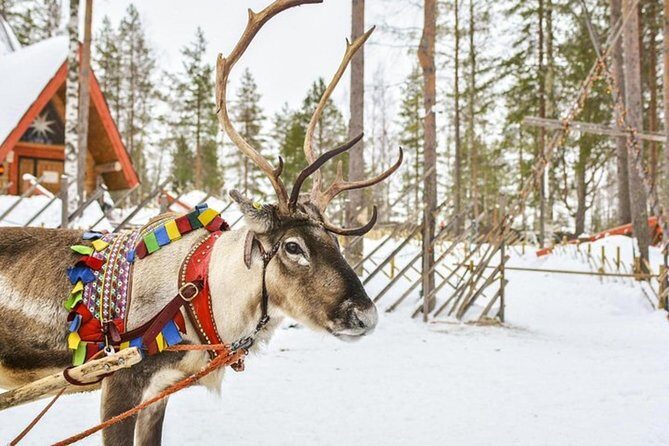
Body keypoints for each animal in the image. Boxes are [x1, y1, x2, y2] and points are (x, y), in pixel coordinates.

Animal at [0, 1, 402, 444]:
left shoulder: (159, 392)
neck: (202, 294)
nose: (366, 316)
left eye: (335, 242)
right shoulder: (119, 385)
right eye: (293, 246)